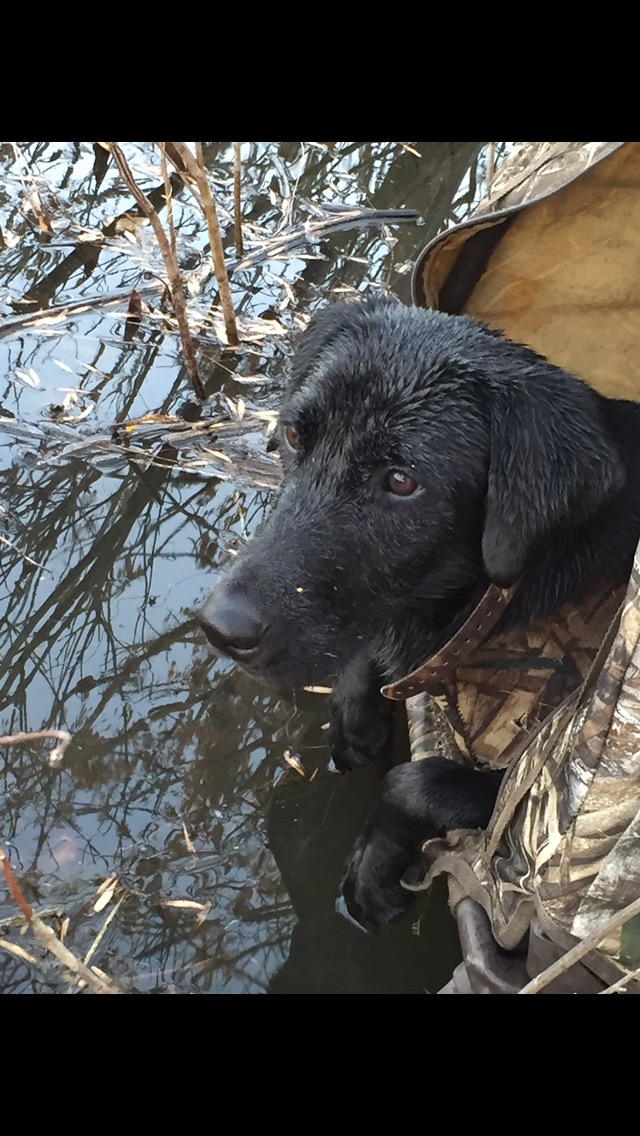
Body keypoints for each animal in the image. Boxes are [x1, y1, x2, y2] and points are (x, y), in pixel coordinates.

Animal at [198, 293, 640, 931]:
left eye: (402, 481)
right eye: (294, 433)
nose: (220, 629)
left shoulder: (523, 802)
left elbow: (409, 783)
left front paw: (371, 873)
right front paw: (357, 714)